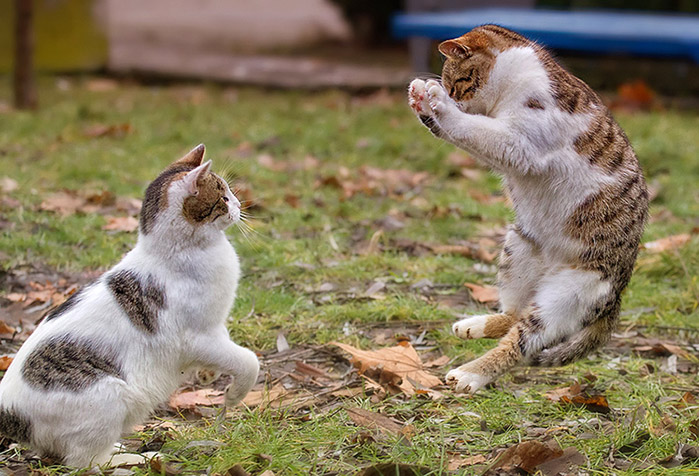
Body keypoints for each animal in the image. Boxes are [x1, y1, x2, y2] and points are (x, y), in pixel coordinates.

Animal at [0, 144, 260, 464]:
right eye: (223, 196)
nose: (238, 203)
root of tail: (9, 411)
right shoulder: (201, 338)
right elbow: (248, 360)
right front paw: (234, 396)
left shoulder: (217, 328)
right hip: (108, 395)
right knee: (85, 462)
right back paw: (138, 459)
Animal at [408, 24, 648, 392]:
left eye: (455, 84)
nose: (452, 96)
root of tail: (616, 299)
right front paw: (422, 100)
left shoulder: (520, 142)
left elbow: (474, 129)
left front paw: (439, 104)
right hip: (518, 248)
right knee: (513, 314)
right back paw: (475, 325)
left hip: (566, 296)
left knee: (521, 341)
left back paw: (470, 374)